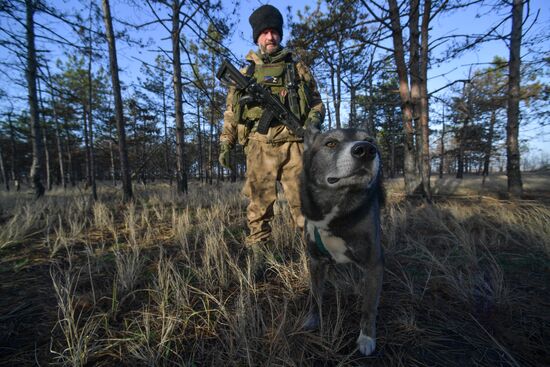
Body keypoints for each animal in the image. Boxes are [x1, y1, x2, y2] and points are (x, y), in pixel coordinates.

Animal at [300, 126, 386, 356]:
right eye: (330, 143)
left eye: (370, 141)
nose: (366, 150)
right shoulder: (316, 261)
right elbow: (315, 295)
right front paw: (312, 320)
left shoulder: (374, 266)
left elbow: (369, 308)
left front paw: (367, 338)